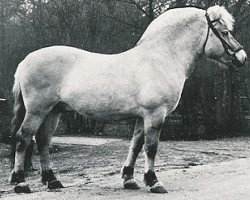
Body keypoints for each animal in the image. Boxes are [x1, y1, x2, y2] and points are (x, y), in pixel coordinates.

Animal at [9, 5, 246, 194]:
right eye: (224, 32)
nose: (242, 58)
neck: (162, 57)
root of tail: (25, 61)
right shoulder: (155, 115)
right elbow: (151, 148)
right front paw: (154, 182)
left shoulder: (142, 117)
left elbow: (135, 145)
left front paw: (129, 179)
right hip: (37, 110)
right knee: (23, 138)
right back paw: (21, 183)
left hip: (54, 111)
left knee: (43, 141)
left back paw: (53, 181)